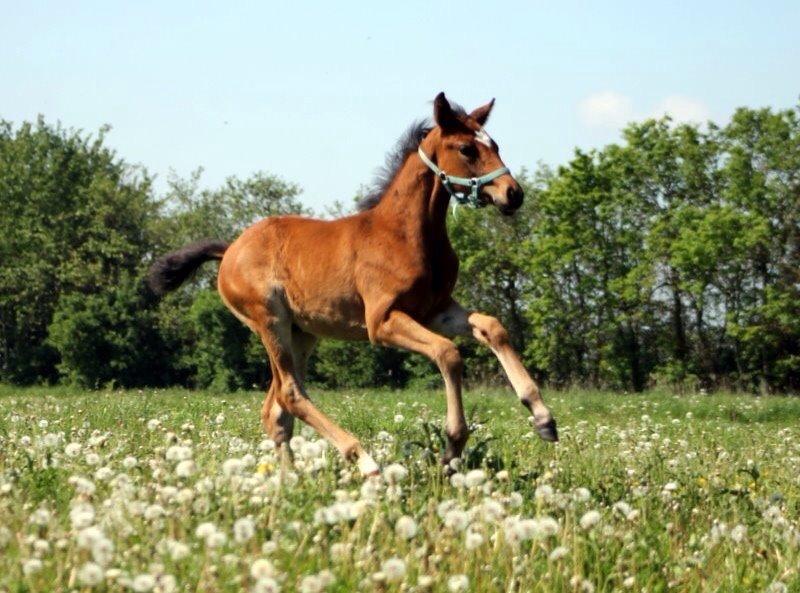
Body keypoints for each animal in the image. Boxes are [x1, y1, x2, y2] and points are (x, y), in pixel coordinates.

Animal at [152, 96, 564, 476]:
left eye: (495, 144)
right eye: (467, 149)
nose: (513, 193)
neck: (407, 235)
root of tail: (230, 249)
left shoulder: (435, 309)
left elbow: (492, 327)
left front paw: (543, 419)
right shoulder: (381, 322)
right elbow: (448, 353)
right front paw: (451, 446)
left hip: (302, 332)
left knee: (276, 410)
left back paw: (289, 480)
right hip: (269, 321)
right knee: (290, 393)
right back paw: (363, 460)